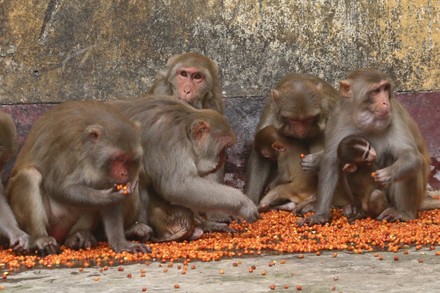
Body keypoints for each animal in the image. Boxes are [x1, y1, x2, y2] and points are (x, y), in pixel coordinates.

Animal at [6, 100, 150, 253]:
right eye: (118, 159)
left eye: (129, 160)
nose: (124, 173)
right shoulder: (67, 146)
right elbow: (58, 186)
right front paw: (107, 197)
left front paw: (121, 244)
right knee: (30, 175)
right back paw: (40, 238)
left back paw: (77, 236)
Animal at [111, 96, 260, 242]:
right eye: (224, 148)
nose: (225, 158)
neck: (185, 131)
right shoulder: (169, 141)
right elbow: (178, 185)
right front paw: (243, 203)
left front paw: (208, 222)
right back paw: (134, 230)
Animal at [246, 72, 338, 203]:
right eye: (294, 120)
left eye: (308, 119)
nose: (301, 131)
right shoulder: (271, 112)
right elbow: (260, 157)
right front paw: (250, 199)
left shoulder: (330, 109)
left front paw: (315, 161)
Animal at [298, 68, 432, 226]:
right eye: (375, 91)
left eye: (385, 88)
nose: (385, 102)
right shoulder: (338, 118)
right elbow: (331, 161)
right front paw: (320, 215)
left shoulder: (394, 116)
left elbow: (410, 155)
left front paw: (388, 174)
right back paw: (355, 209)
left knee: (402, 161)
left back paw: (404, 213)